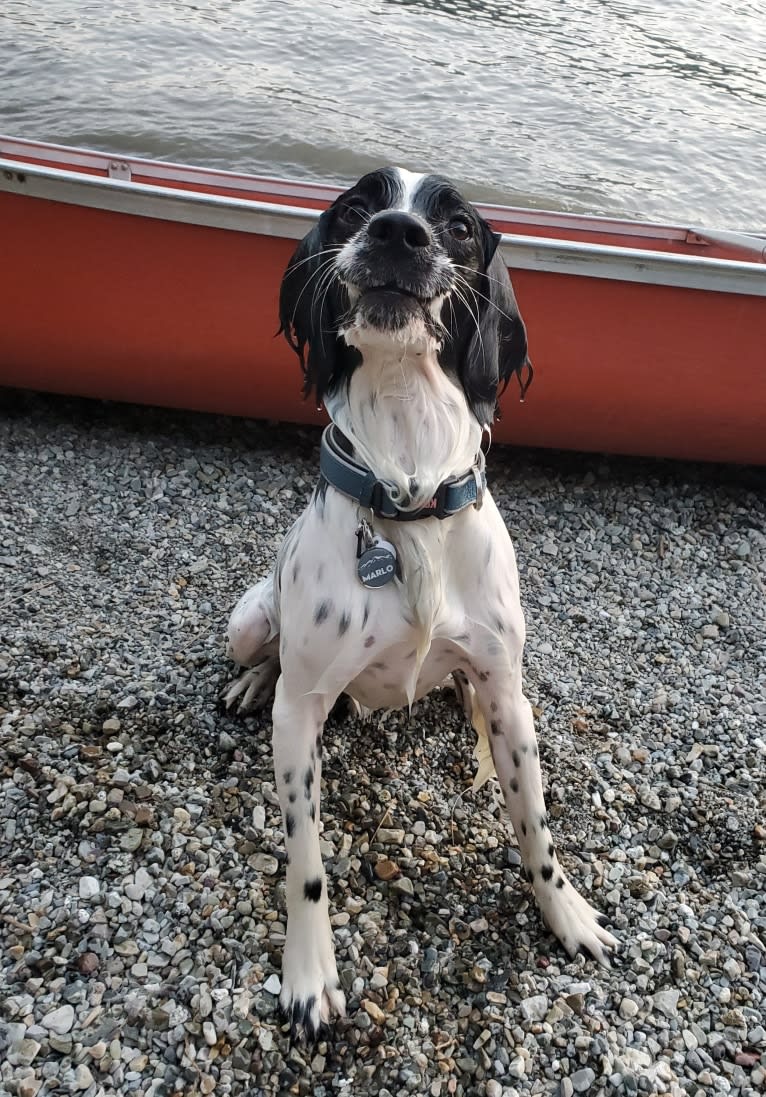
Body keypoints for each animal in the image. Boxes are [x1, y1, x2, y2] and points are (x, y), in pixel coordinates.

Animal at [222, 164, 614, 1035]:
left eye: (459, 225)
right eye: (355, 208)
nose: (398, 232)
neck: (408, 484)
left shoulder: (511, 697)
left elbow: (537, 831)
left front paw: (566, 915)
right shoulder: (300, 720)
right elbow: (305, 866)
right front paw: (308, 978)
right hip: (247, 619)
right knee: (264, 651)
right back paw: (252, 679)